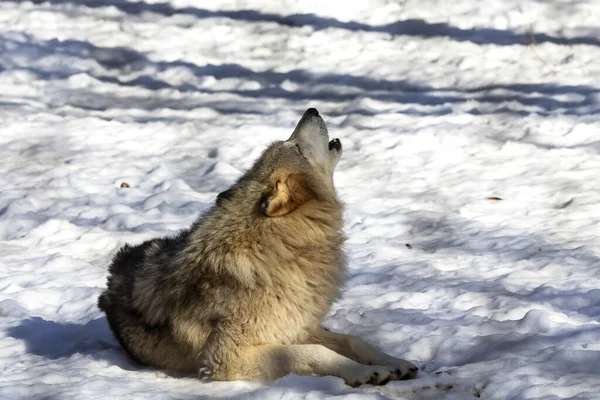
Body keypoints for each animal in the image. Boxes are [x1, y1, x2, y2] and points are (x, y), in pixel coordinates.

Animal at [97, 108, 418, 386]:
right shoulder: (228, 358)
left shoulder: (295, 327)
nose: (312, 109)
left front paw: (394, 362)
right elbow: (316, 353)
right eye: (296, 146)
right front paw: (363, 372)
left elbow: (353, 340)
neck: (281, 252)